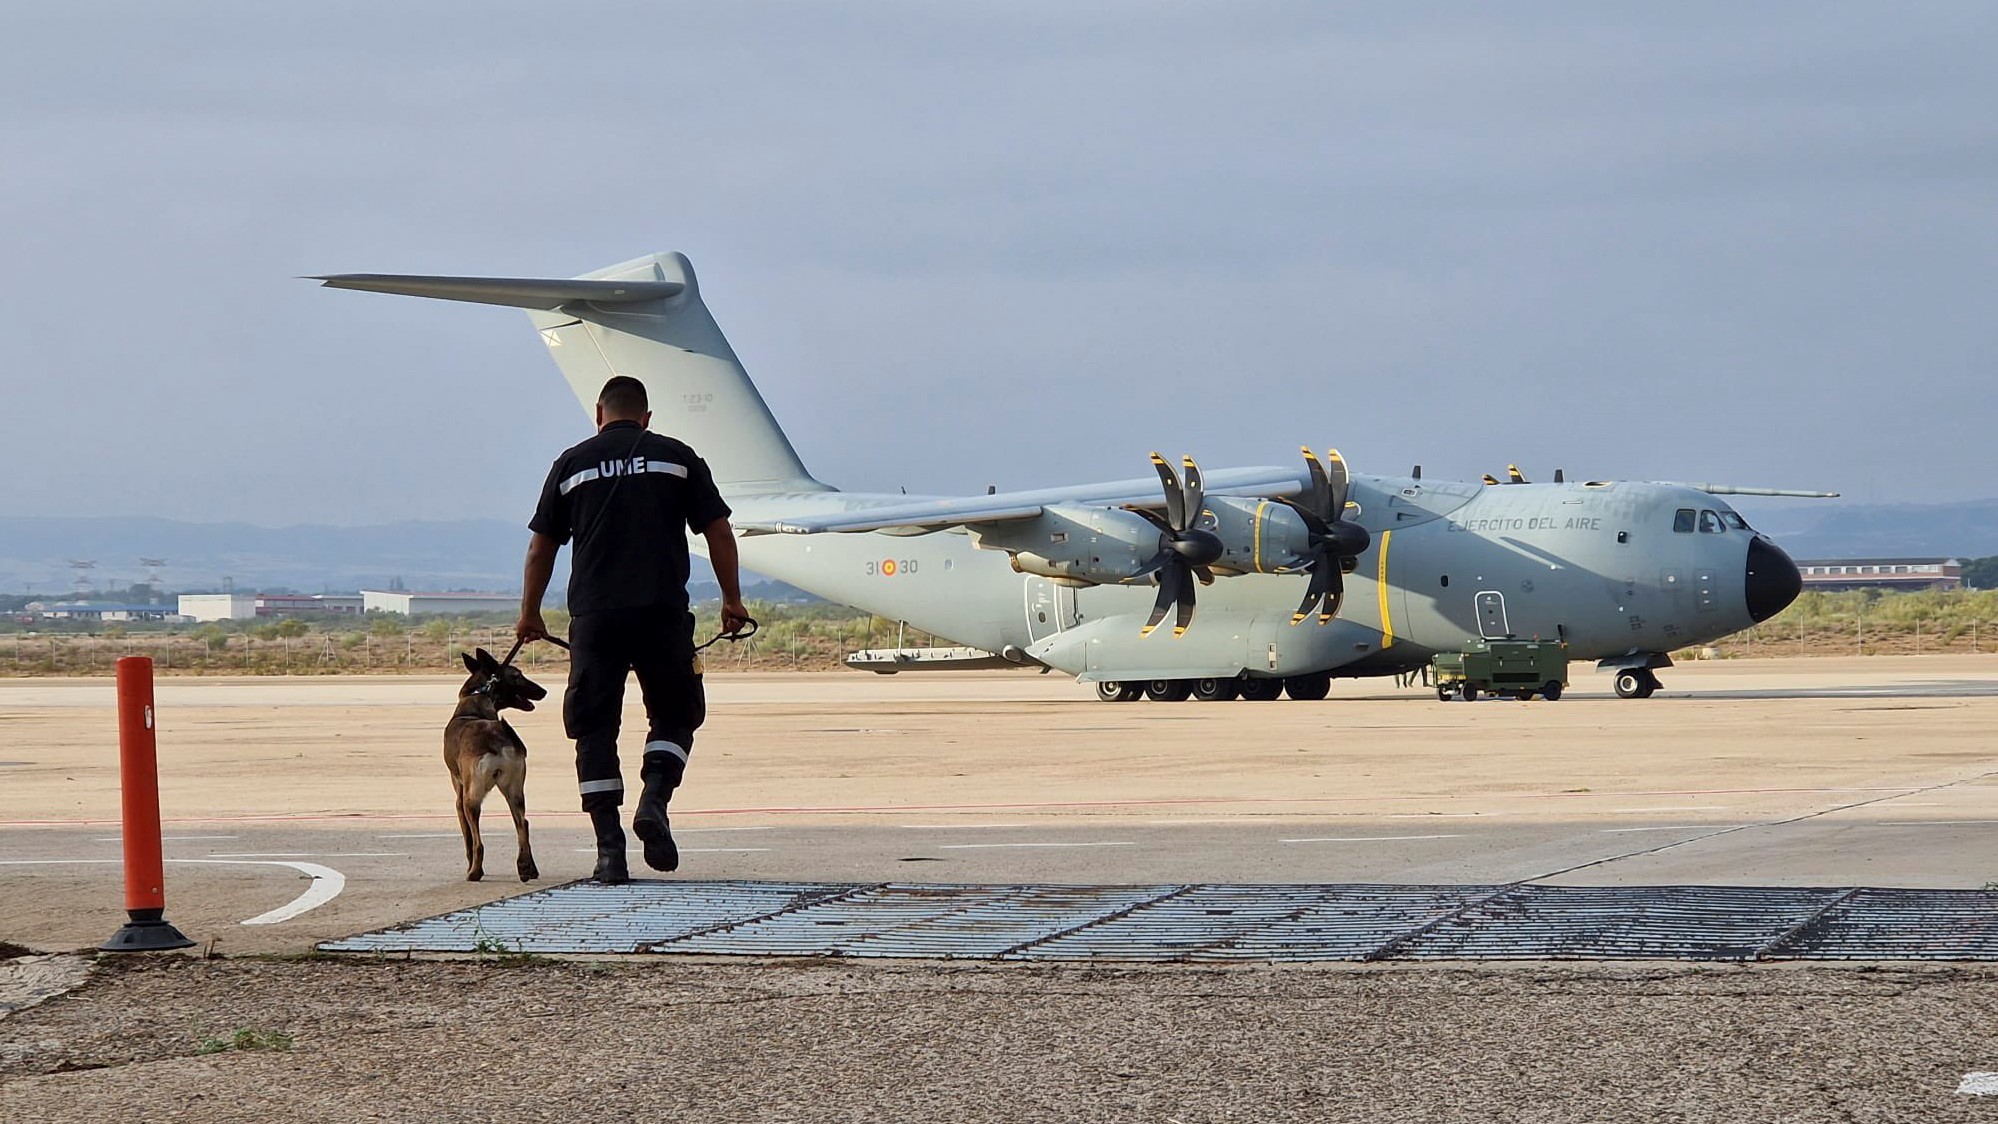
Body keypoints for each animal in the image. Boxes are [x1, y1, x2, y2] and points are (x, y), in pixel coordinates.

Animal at [449, 646, 547, 882]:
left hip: (472, 798)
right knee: (523, 824)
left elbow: (468, 839)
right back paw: (526, 867)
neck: (478, 698)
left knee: (478, 842)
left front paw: (470, 866)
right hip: (515, 790)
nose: (542, 691)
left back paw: (475, 872)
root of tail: (498, 735)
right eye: (517, 675)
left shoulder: (459, 794)